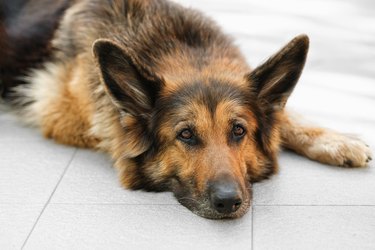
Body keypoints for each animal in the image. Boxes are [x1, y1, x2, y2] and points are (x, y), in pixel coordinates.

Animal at [0, 0, 372, 219]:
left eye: (239, 130)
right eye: (186, 135)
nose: (228, 202)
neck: (181, 47)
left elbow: (286, 117)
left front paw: (335, 140)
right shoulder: (65, 116)